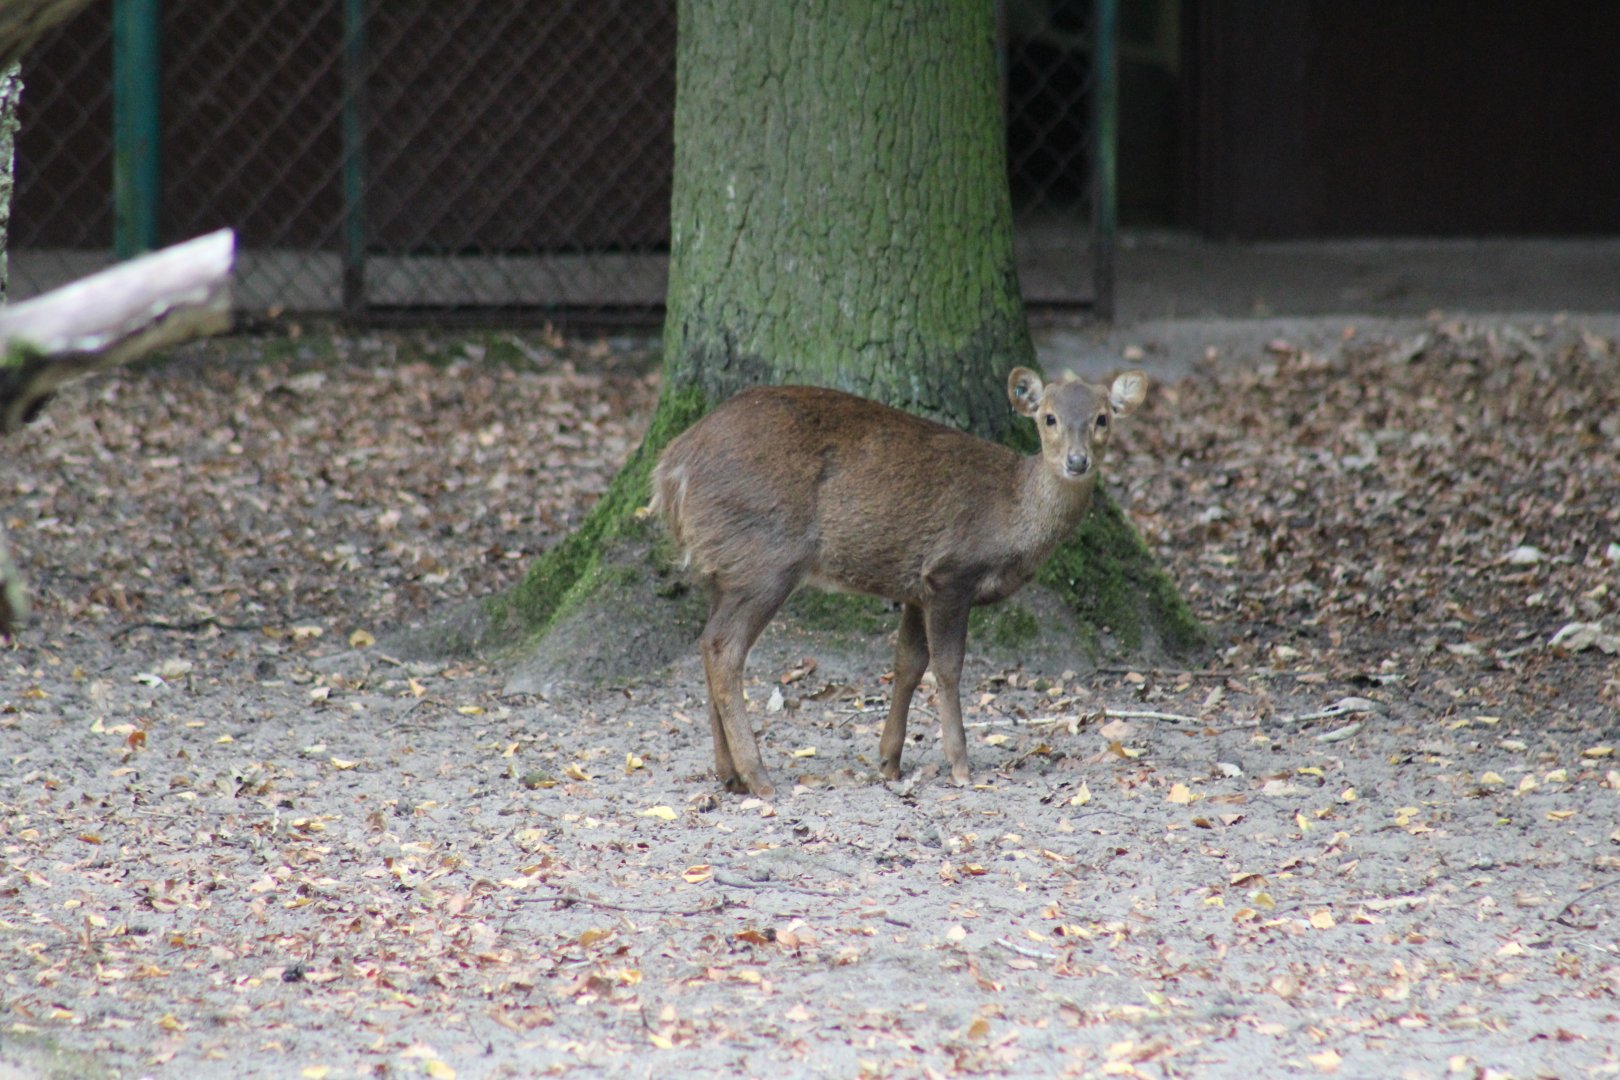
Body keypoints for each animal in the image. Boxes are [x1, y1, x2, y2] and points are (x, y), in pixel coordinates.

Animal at [650, 366, 1148, 799]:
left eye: (1102, 417)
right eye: (1049, 417)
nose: (1077, 461)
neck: (1011, 512)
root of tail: (671, 470)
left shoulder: (916, 588)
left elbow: (908, 663)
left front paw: (889, 760)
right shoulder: (951, 573)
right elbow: (948, 667)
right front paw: (960, 765)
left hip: (724, 567)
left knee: (706, 642)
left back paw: (729, 774)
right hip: (766, 558)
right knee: (724, 648)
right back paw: (759, 776)